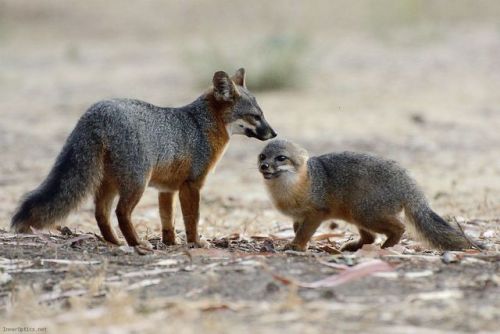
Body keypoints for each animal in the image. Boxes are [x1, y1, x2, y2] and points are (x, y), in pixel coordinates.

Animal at [11, 68, 278, 247]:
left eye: (263, 114)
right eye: (255, 116)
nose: (274, 133)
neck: (199, 124)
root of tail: (97, 111)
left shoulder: (167, 189)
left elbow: (168, 220)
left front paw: (171, 243)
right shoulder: (192, 185)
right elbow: (192, 219)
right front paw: (195, 243)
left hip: (110, 183)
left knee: (100, 214)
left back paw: (116, 242)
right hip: (136, 183)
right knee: (121, 213)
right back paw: (137, 244)